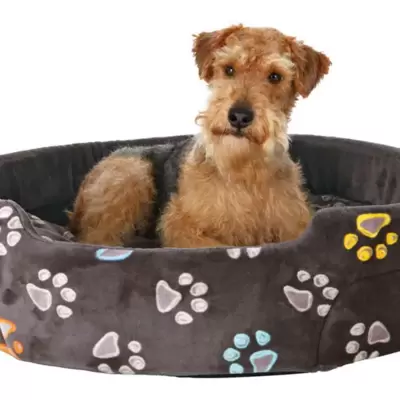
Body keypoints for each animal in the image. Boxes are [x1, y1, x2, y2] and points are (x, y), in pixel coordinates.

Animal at [68, 24, 331, 248]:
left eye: (275, 76)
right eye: (229, 69)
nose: (239, 117)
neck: (244, 170)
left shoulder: (294, 224)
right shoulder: (181, 225)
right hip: (130, 177)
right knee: (97, 236)